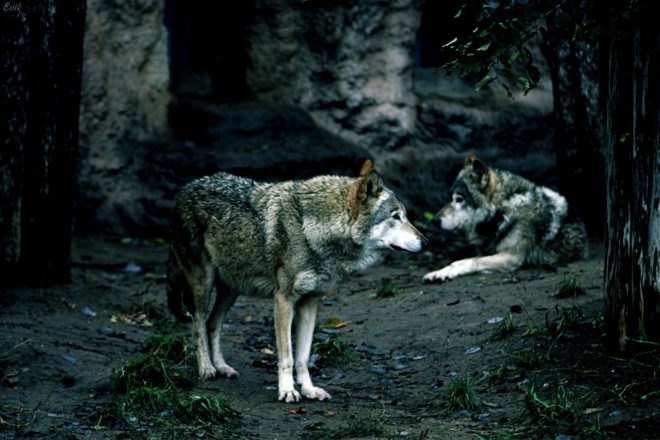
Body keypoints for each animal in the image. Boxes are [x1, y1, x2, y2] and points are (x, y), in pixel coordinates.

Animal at [167, 159, 427, 403]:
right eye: (396, 217)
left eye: (405, 216)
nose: (426, 242)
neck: (312, 230)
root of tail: (185, 188)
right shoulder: (283, 300)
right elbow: (287, 356)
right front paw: (287, 390)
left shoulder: (311, 302)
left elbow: (303, 356)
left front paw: (309, 389)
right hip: (204, 285)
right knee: (198, 323)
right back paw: (206, 368)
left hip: (231, 290)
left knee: (213, 324)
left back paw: (222, 367)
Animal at [423, 155, 588, 283]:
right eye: (449, 198)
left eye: (459, 199)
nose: (434, 221)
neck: (503, 210)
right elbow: (458, 261)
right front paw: (438, 272)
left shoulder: (511, 257)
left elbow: (470, 261)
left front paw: (443, 273)